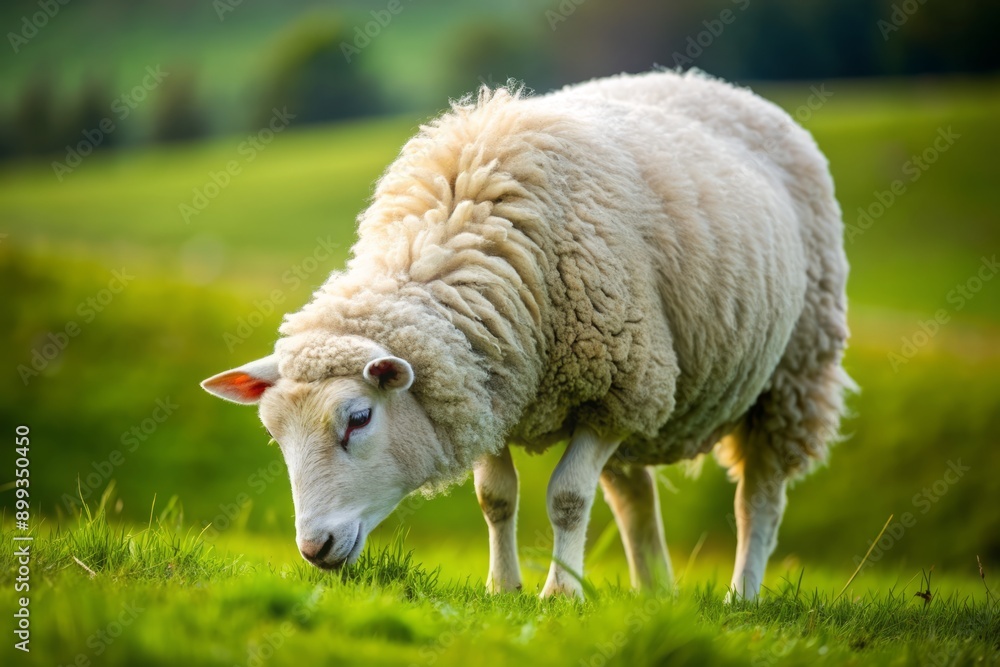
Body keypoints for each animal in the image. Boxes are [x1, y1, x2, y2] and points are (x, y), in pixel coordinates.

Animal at [201, 69, 853, 599]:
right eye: (274, 435)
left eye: (358, 419)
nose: (314, 550)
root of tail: (715, 83)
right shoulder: (489, 383)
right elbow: (496, 497)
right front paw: (503, 587)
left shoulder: (615, 391)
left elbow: (566, 498)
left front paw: (559, 595)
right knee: (634, 496)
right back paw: (654, 593)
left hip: (793, 373)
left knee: (758, 497)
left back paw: (741, 595)